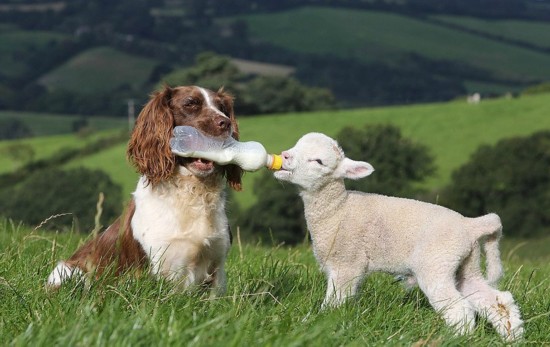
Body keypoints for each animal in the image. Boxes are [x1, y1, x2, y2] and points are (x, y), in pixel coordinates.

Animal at [48, 85, 244, 294]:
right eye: (190, 103)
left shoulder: (217, 265)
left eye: (222, 108)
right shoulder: (158, 267)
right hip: (69, 272)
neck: (191, 192)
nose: (225, 123)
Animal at [276, 133, 528, 342]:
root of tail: (470, 225)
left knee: (460, 310)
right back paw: (512, 337)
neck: (338, 210)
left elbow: (335, 301)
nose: (285, 156)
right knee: (498, 300)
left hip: (436, 263)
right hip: (466, 265)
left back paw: (457, 339)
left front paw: (319, 324)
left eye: (318, 161)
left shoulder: (347, 264)